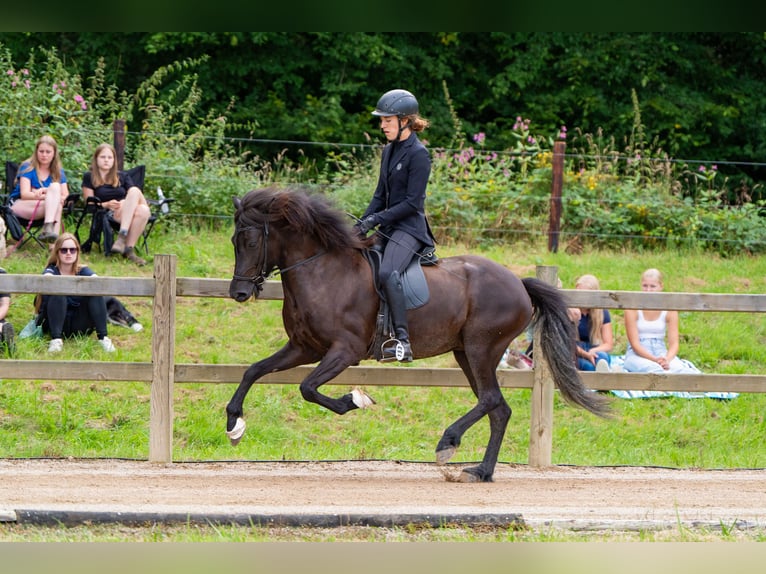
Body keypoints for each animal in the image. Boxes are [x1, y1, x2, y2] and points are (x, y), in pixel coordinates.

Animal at [228, 188, 612, 482]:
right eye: (233, 240)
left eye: (251, 240)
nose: (239, 293)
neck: (323, 271)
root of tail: (518, 282)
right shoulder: (304, 347)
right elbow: (254, 371)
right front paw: (234, 423)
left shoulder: (345, 350)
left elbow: (308, 388)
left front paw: (355, 400)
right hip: (466, 353)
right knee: (498, 408)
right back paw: (481, 471)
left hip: (481, 348)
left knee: (490, 400)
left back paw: (448, 444)